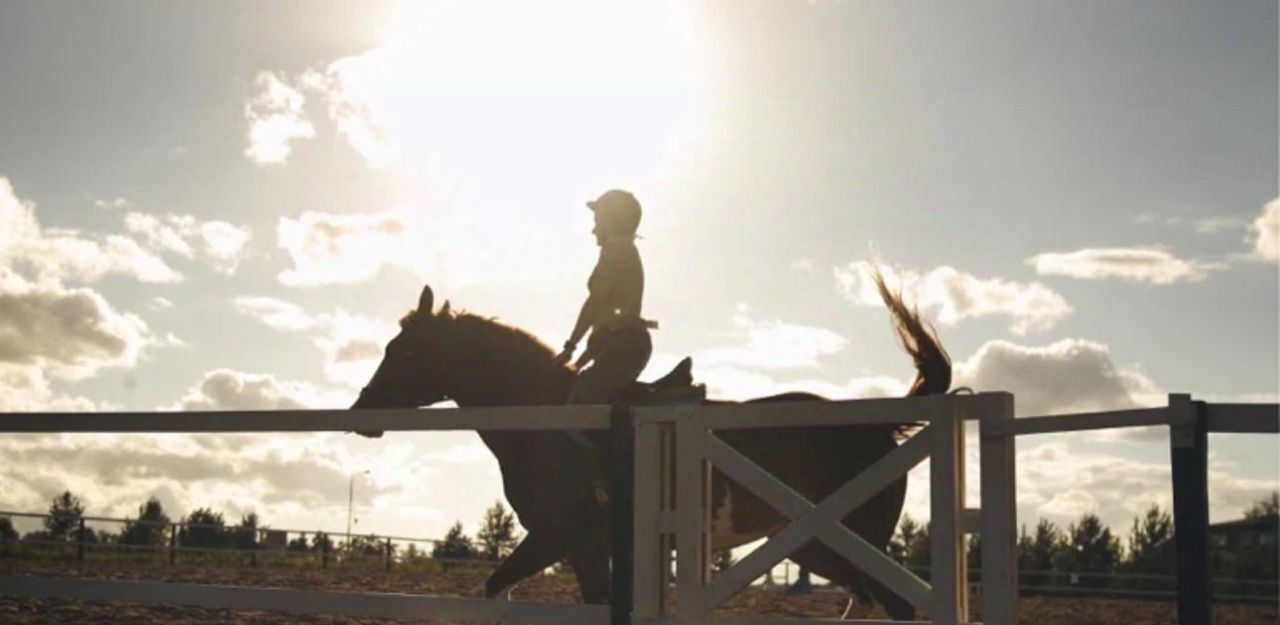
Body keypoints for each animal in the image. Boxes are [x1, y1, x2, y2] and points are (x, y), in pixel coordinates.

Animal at [350, 270, 952, 619]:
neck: (546, 418)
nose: (361, 412)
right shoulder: (577, 547)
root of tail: (877, 427)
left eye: (404, 351)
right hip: (818, 546)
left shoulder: (564, 538)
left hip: (851, 540)